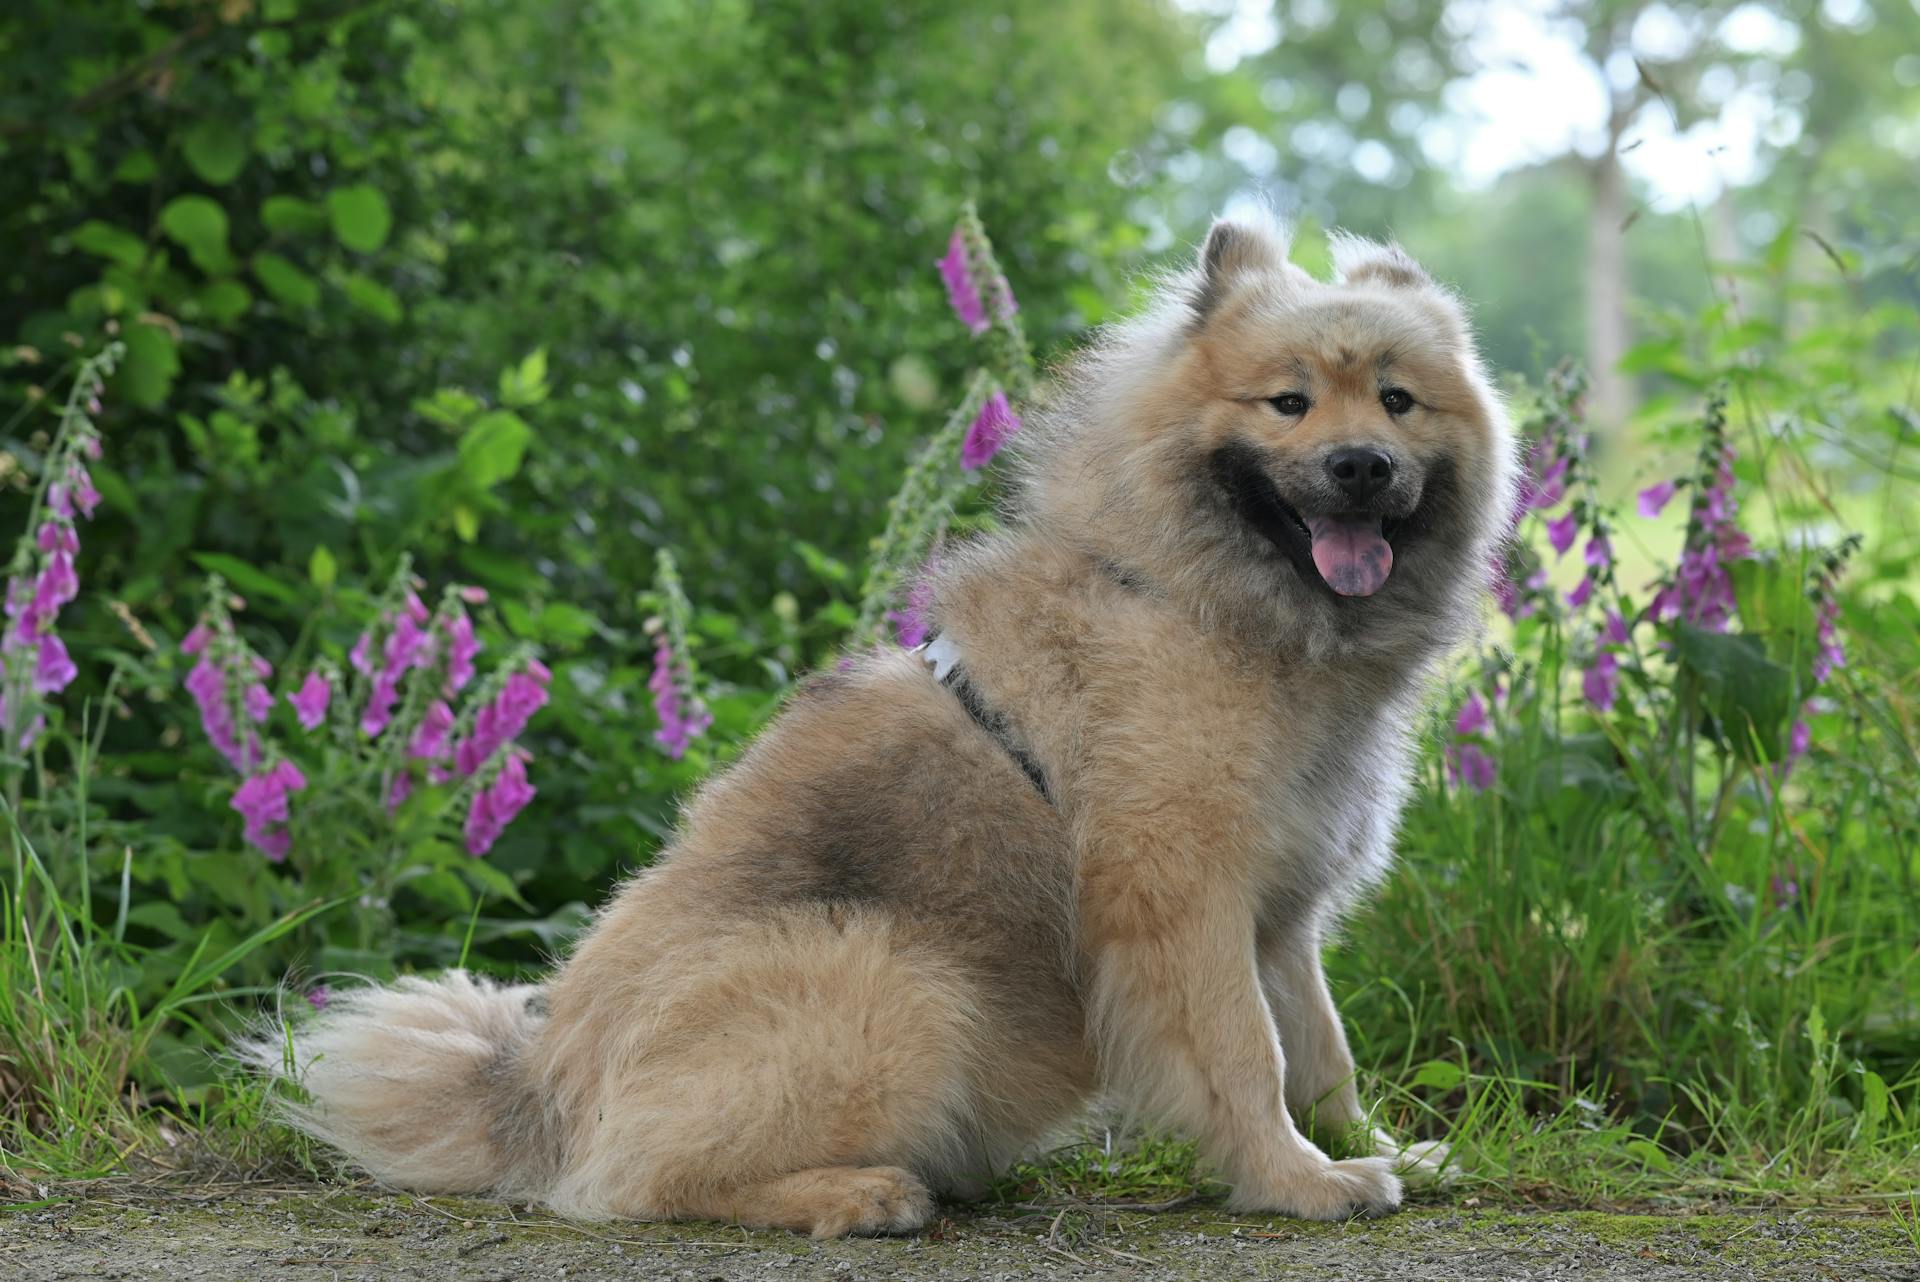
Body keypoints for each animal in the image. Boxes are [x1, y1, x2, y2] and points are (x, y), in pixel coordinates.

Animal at [247, 214, 1512, 1235]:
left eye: (1397, 399)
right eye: (1288, 401)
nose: (1362, 467)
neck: (1201, 602)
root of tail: (536, 1092)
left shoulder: (1281, 914)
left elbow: (1321, 1051)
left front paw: (1376, 1149)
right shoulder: (1183, 901)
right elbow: (1248, 1053)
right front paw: (1298, 1182)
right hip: (895, 977)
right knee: (634, 1184)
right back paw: (859, 1192)